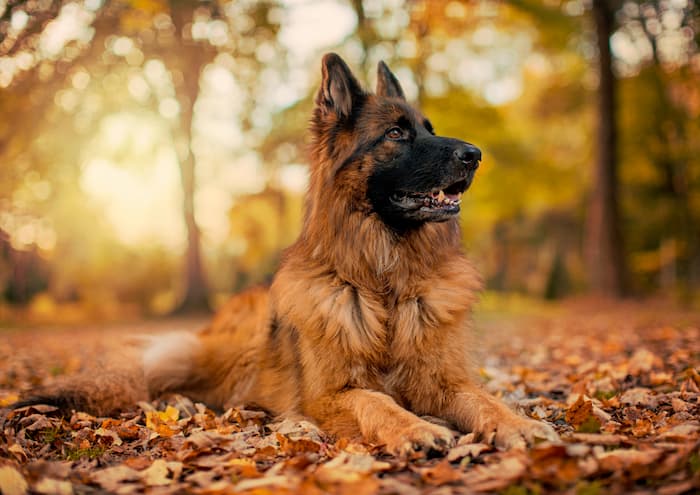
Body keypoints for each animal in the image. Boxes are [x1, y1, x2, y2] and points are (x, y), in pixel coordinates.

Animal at [15, 54, 556, 458]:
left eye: (429, 128)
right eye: (396, 134)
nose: (475, 155)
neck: (383, 281)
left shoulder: (443, 380)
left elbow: (483, 398)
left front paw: (516, 423)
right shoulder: (328, 395)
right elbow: (377, 403)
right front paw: (415, 428)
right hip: (222, 351)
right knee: (156, 380)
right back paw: (181, 405)